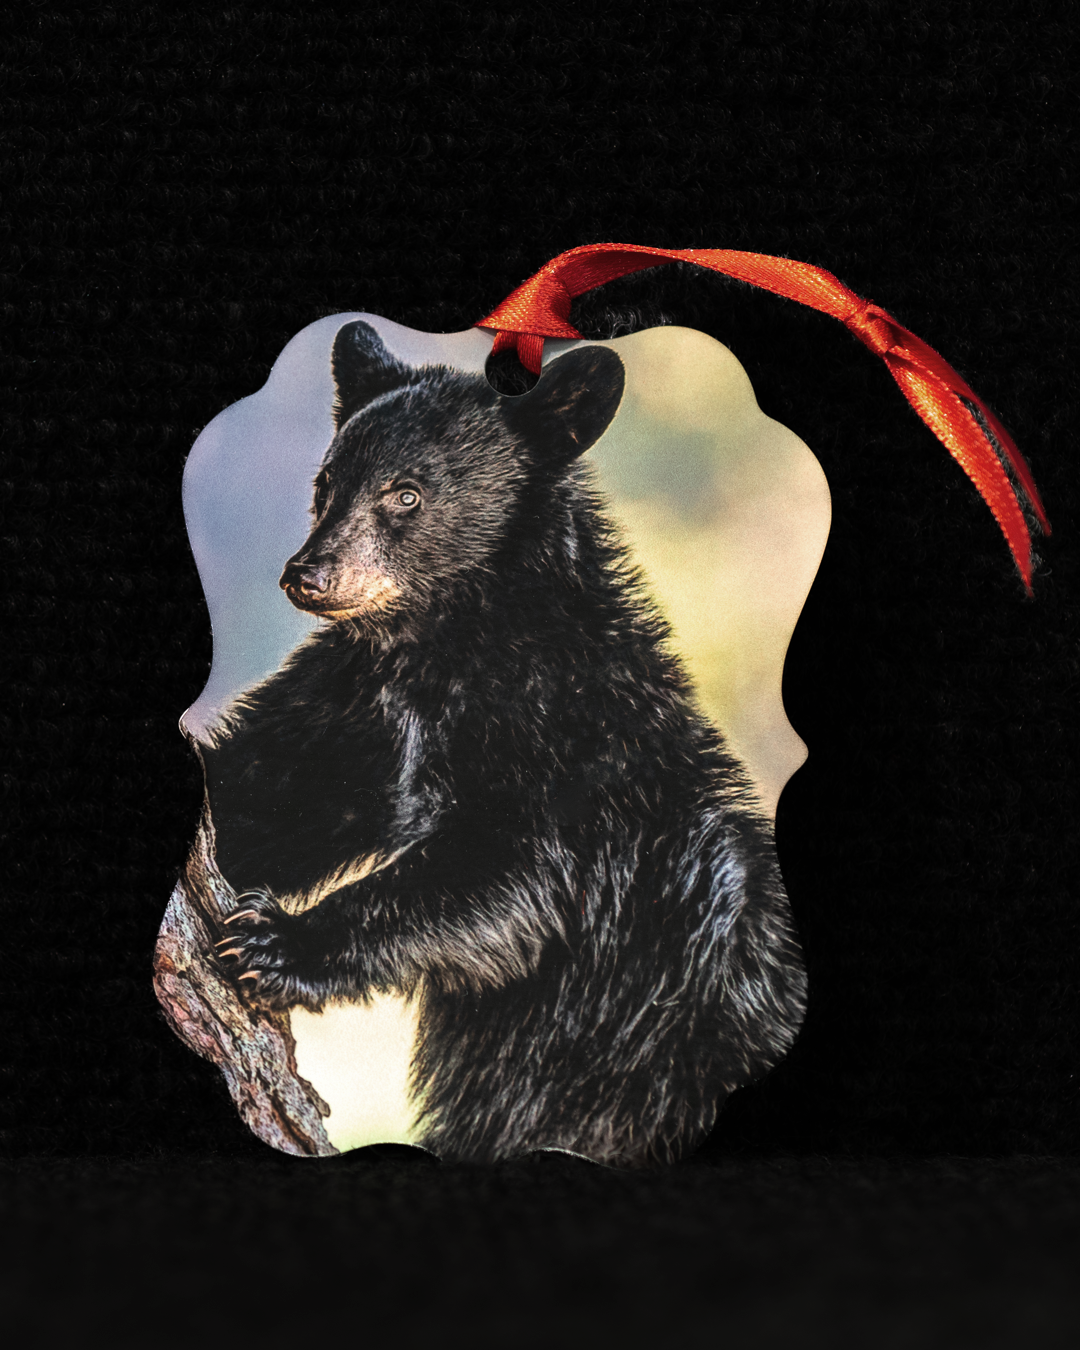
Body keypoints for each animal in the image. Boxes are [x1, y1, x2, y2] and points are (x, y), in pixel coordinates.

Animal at [200, 319, 806, 1167]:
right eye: (325, 484)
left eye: (407, 493)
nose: (307, 575)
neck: (445, 646)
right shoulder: (361, 710)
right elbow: (277, 787)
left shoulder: (567, 753)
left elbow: (508, 875)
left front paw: (279, 942)